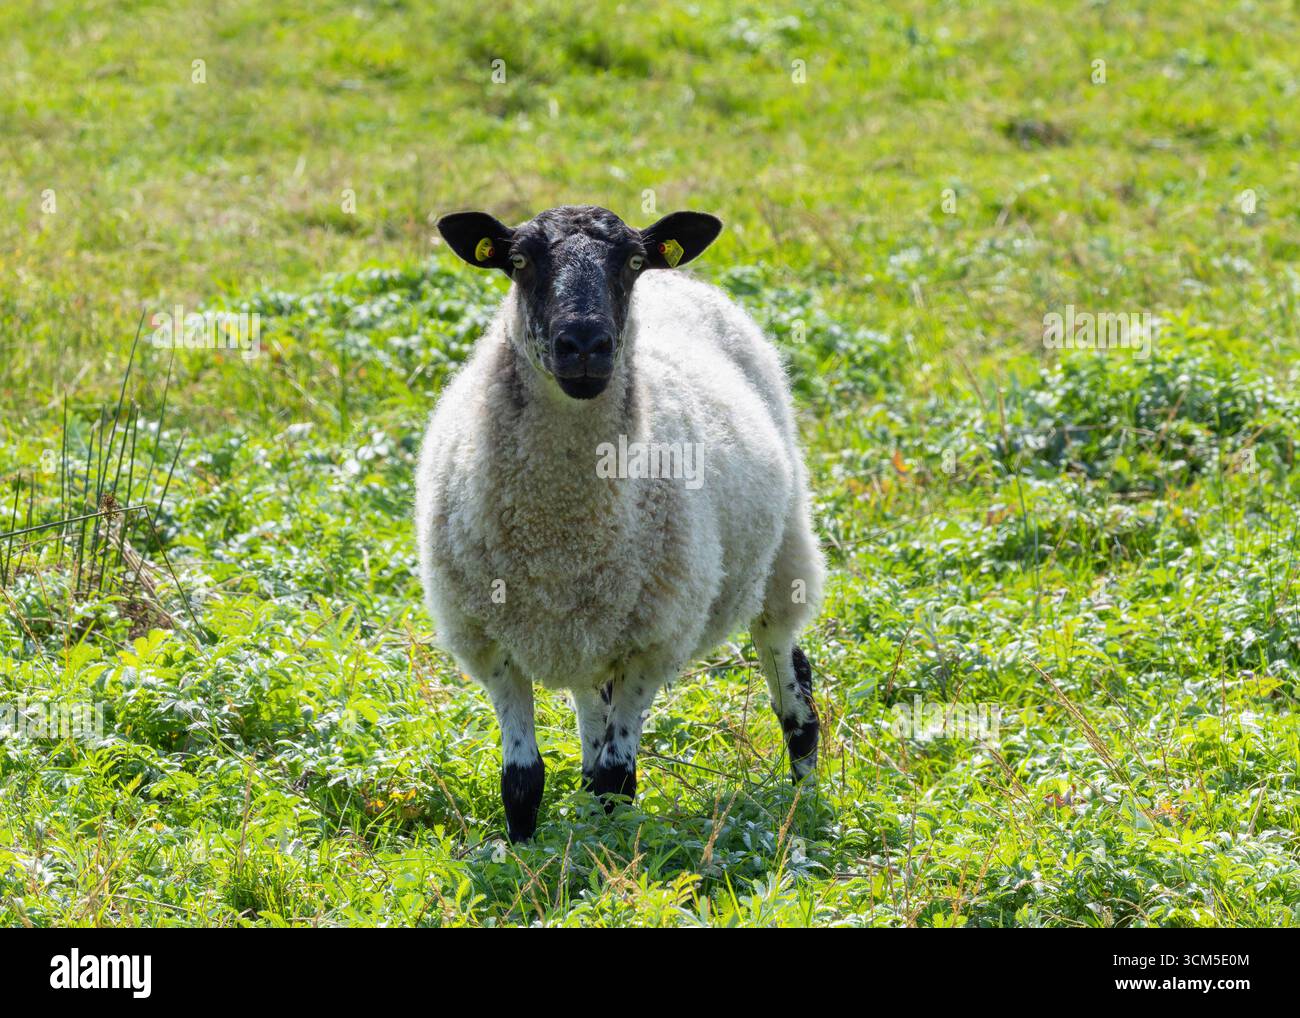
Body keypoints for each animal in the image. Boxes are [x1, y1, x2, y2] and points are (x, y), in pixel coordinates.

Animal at [415, 205, 825, 842]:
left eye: (632, 262)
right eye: (519, 261)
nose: (584, 344)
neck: (560, 533)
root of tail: (683, 283)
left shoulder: (651, 643)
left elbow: (618, 778)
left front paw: (608, 854)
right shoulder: (490, 644)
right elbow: (523, 780)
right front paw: (525, 853)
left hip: (782, 557)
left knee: (790, 675)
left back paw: (800, 797)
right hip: (587, 628)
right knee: (591, 711)